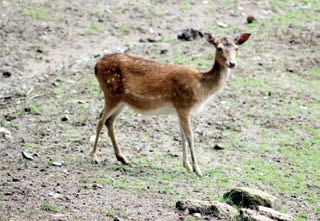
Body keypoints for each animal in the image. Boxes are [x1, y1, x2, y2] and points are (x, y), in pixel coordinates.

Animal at [89, 32, 250, 176]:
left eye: (237, 48)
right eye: (219, 48)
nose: (232, 63)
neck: (201, 87)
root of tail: (96, 66)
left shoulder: (179, 110)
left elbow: (182, 135)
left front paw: (187, 166)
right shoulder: (184, 106)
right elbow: (190, 136)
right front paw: (198, 170)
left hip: (122, 100)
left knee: (109, 121)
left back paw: (122, 158)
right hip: (111, 93)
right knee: (100, 119)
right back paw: (94, 157)